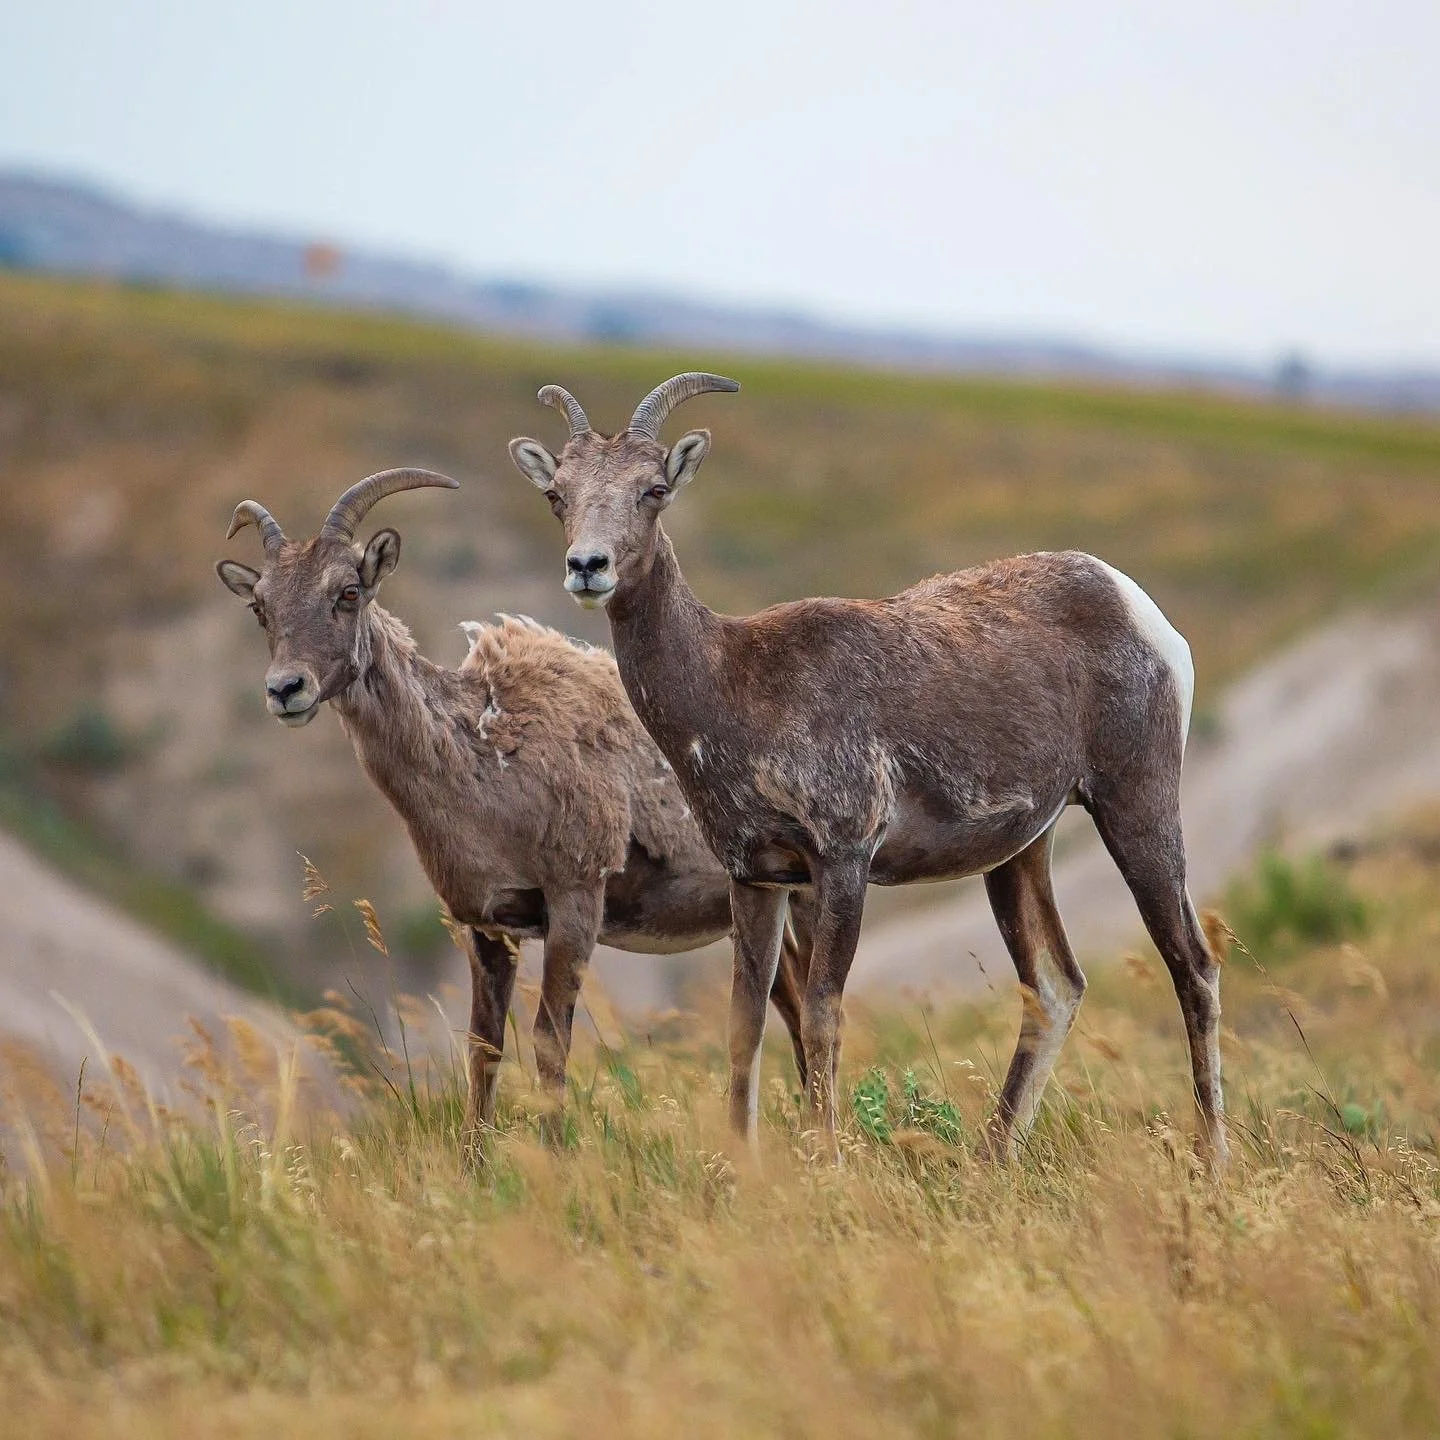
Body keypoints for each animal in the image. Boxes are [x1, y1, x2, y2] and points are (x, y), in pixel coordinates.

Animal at [215, 468, 811, 1153]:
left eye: (348, 591)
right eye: (260, 606)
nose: (286, 690)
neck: (492, 765)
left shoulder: (576, 899)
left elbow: (551, 1042)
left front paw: (554, 1160)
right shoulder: (485, 924)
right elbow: (484, 1048)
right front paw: (474, 1161)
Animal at [509, 376, 1227, 1169]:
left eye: (654, 489)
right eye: (558, 494)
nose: (588, 567)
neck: (735, 687)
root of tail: (1135, 607)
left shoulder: (844, 860)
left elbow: (823, 1014)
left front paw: (827, 1160)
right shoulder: (758, 878)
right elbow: (745, 1023)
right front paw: (744, 1163)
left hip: (1136, 808)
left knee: (1192, 966)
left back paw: (1211, 1159)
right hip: (1018, 855)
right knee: (1054, 986)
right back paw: (989, 1157)